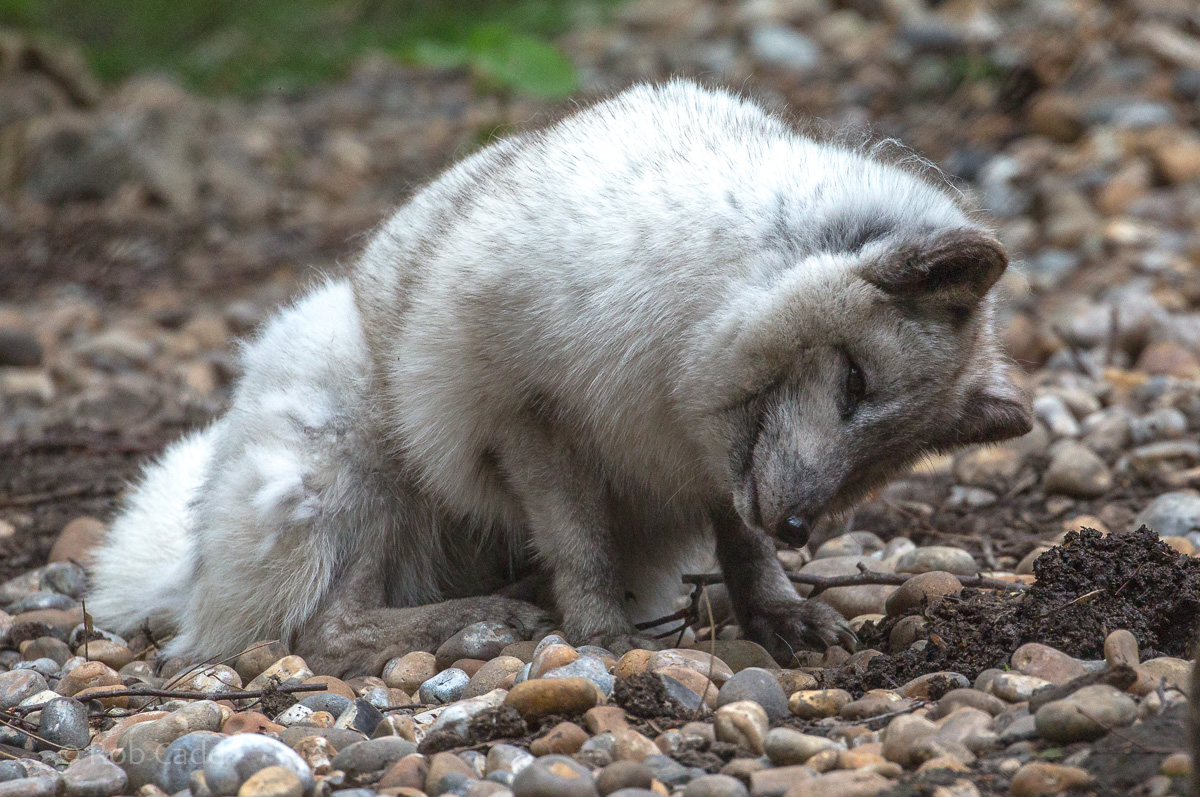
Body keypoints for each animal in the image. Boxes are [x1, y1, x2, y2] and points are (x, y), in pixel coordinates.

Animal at [87, 80, 1033, 677]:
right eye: (855, 379)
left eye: (885, 460)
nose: (803, 526)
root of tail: (197, 567)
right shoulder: (523, 416)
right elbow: (581, 545)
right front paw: (602, 637)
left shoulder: (715, 462)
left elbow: (739, 538)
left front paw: (778, 608)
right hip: (356, 438)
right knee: (321, 629)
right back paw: (483, 622)